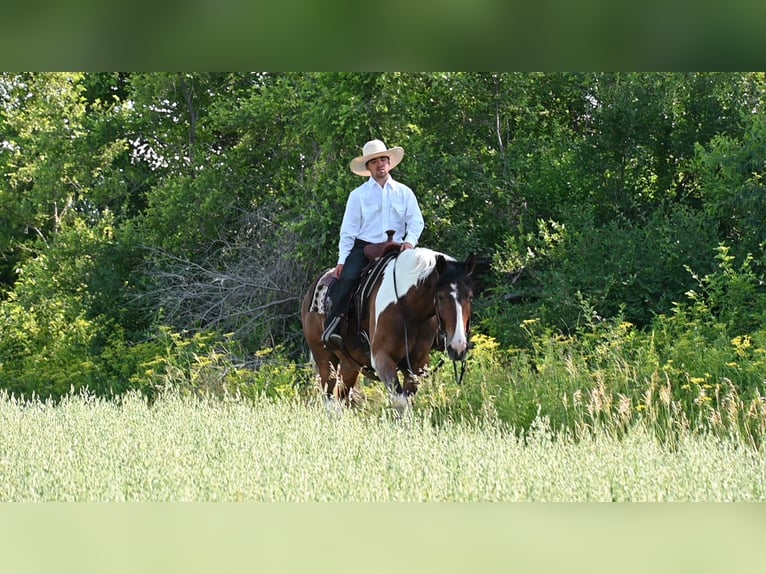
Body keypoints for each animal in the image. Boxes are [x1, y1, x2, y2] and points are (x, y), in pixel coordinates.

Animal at [300, 249, 474, 414]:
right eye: (440, 297)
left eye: (470, 297)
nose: (458, 347)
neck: (409, 308)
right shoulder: (382, 358)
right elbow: (401, 402)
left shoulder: (417, 365)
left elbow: (408, 402)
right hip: (325, 359)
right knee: (330, 399)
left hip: (350, 364)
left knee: (341, 396)